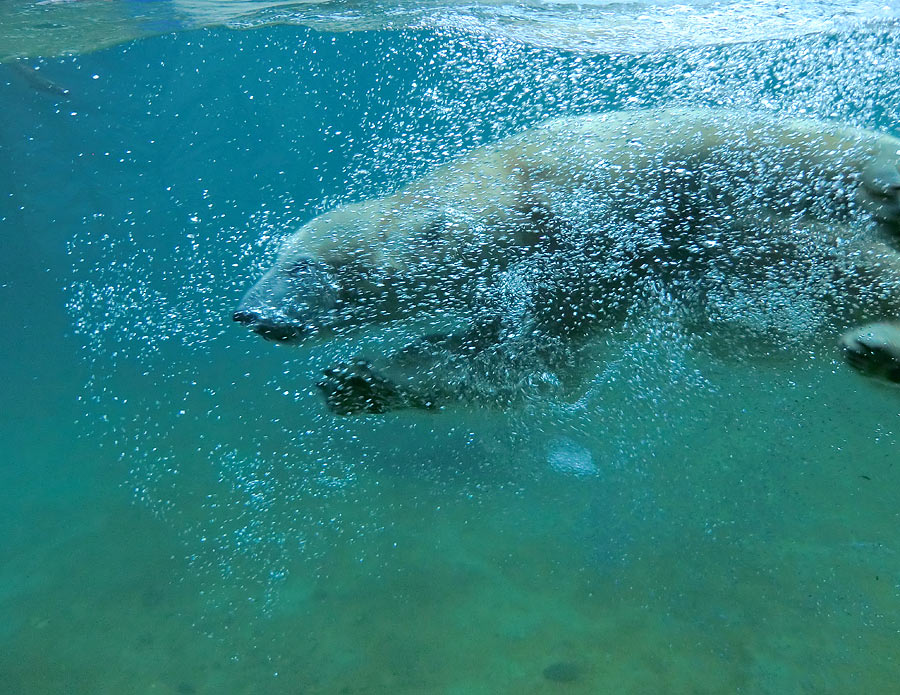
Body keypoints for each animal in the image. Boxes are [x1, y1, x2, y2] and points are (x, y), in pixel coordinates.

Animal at [234, 108, 900, 414]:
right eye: (275, 258)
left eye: (299, 266)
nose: (249, 312)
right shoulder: (590, 294)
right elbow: (532, 359)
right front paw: (355, 382)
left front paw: (359, 374)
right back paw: (872, 347)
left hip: (768, 152)